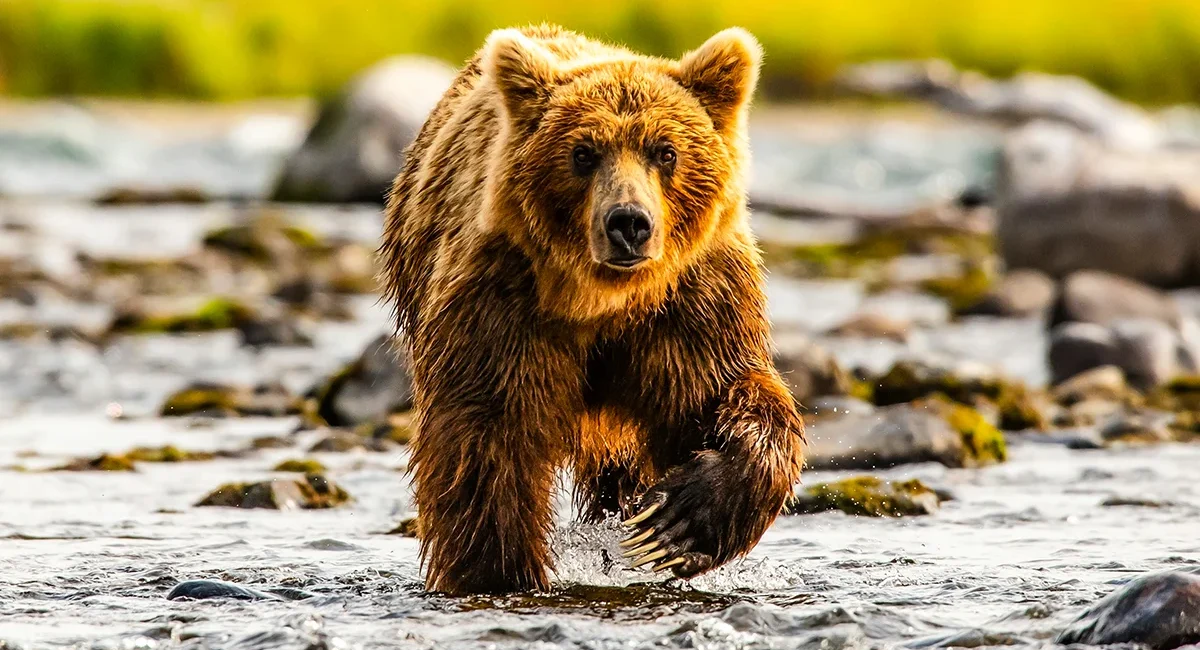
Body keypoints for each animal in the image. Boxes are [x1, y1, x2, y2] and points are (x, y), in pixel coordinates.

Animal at [379, 23, 805, 595]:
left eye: (664, 151)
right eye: (583, 153)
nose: (628, 222)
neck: (601, 302)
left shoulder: (691, 307)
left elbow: (731, 395)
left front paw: (676, 523)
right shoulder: (502, 305)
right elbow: (487, 440)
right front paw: (499, 571)